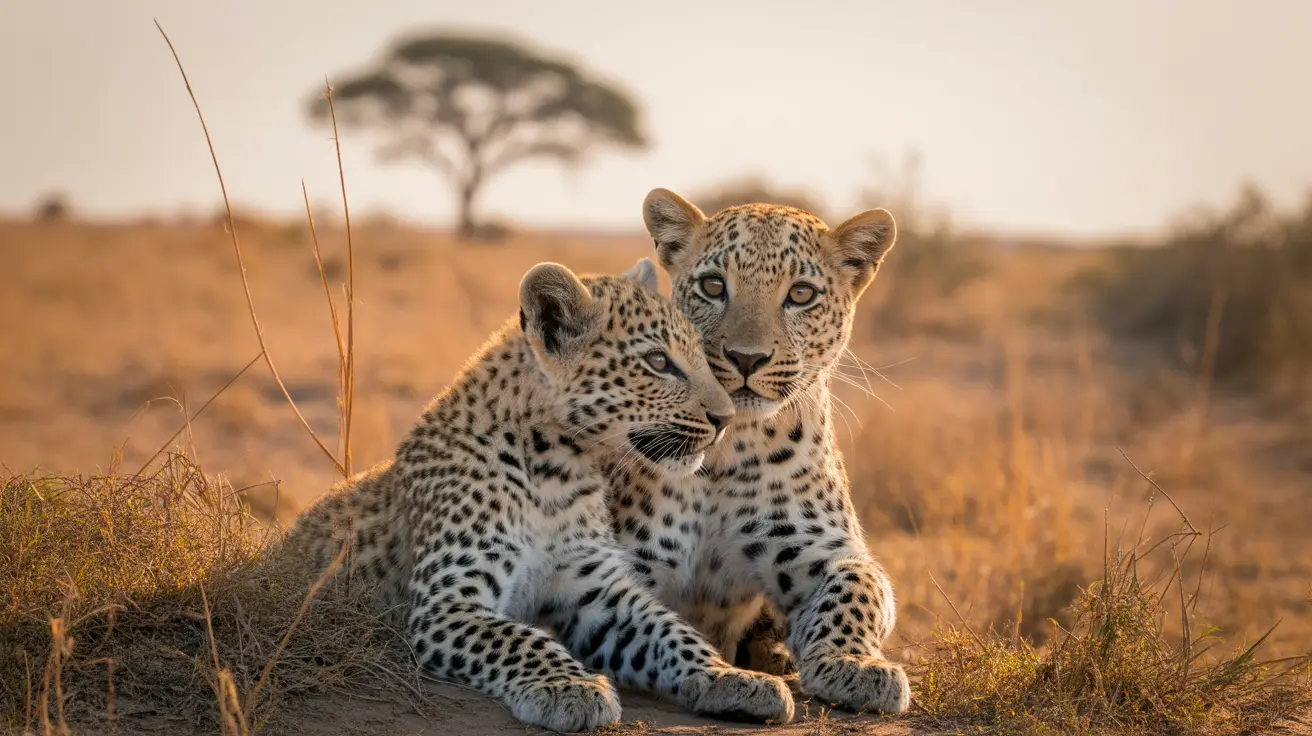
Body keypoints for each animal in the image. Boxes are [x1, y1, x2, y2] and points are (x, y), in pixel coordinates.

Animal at [284, 260, 795, 732]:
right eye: (657, 362)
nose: (725, 419)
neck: (557, 472)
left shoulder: (599, 591)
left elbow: (670, 630)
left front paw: (729, 676)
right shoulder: (448, 603)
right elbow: (520, 639)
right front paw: (568, 686)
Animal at [602, 188, 912, 715]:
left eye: (801, 294)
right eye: (713, 286)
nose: (746, 358)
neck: (726, 451)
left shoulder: (824, 549)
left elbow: (856, 589)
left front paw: (854, 665)